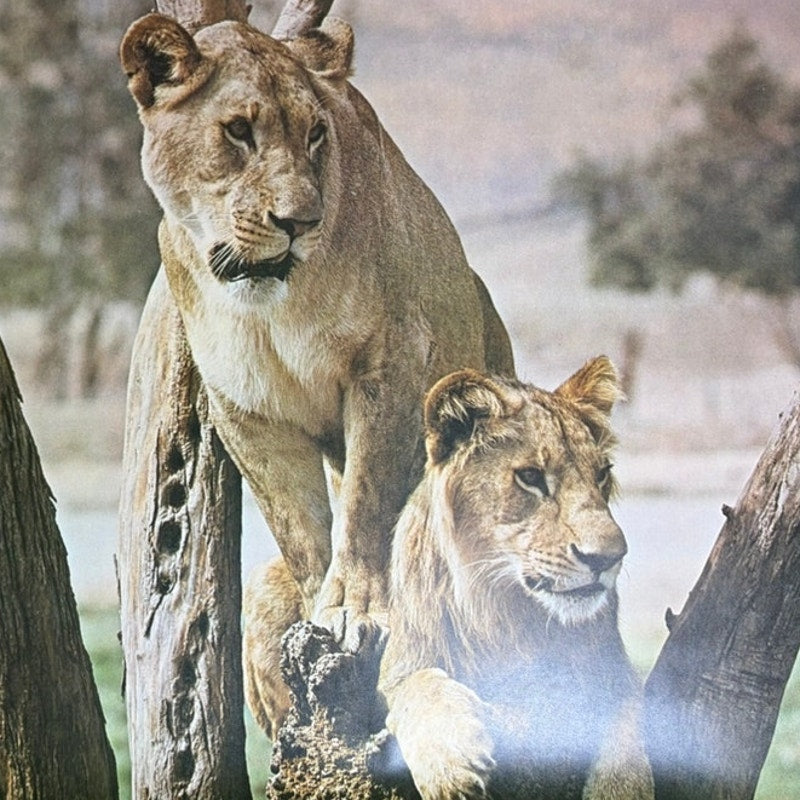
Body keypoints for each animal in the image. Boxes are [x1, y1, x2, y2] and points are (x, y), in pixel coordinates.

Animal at [119, 13, 514, 651]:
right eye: (237, 131)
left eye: (315, 135)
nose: (299, 223)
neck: (270, 307)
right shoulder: (246, 409)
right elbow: (299, 529)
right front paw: (314, 616)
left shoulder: (390, 363)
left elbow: (366, 499)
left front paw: (355, 607)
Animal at [379, 357, 654, 799]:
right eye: (531, 477)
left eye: (601, 474)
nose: (608, 557)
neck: (509, 614)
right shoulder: (401, 663)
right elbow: (416, 686)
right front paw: (450, 766)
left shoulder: (615, 674)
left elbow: (627, 747)